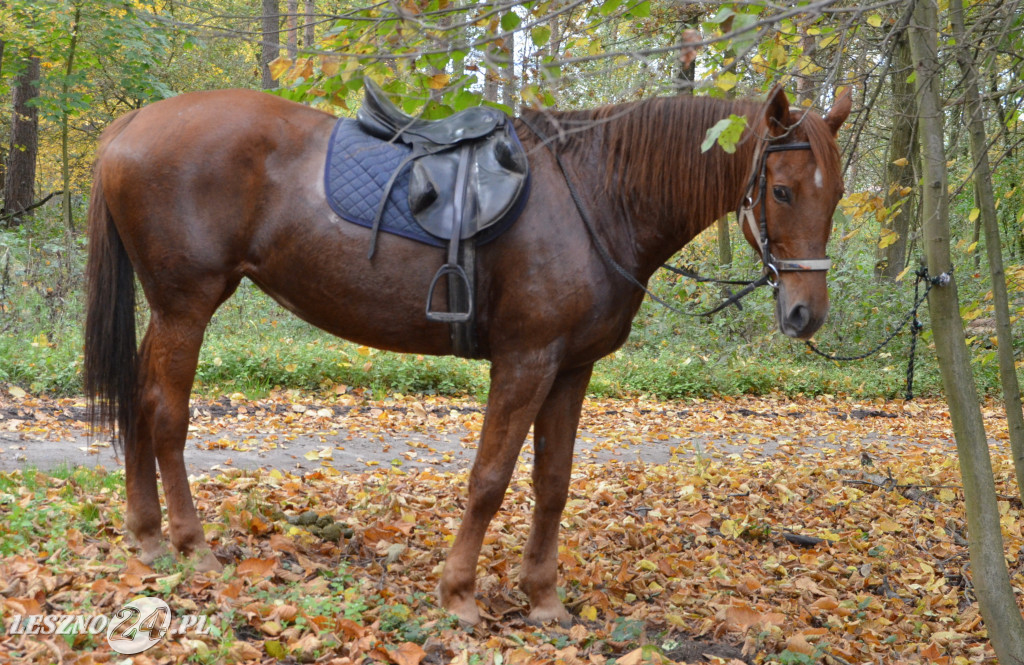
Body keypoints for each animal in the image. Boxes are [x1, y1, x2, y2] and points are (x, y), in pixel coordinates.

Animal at [83, 80, 851, 627]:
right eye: (782, 190)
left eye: (837, 193)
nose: (805, 314)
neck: (597, 196)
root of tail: (129, 125)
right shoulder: (526, 360)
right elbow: (490, 477)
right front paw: (458, 593)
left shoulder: (571, 369)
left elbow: (552, 482)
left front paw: (543, 599)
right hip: (187, 305)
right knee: (166, 414)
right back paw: (191, 545)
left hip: (171, 310)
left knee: (139, 402)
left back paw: (147, 536)